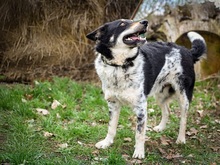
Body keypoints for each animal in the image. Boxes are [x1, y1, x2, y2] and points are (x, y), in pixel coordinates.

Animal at [86, 19, 206, 159]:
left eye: (131, 20)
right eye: (122, 24)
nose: (145, 22)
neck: (119, 65)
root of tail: (187, 51)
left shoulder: (141, 107)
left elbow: (139, 133)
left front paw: (139, 152)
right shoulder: (113, 104)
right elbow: (111, 127)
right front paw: (107, 143)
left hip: (183, 96)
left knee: (183, 119)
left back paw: (181, 139)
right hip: (161, 94)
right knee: (167, 111)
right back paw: (160, 127)